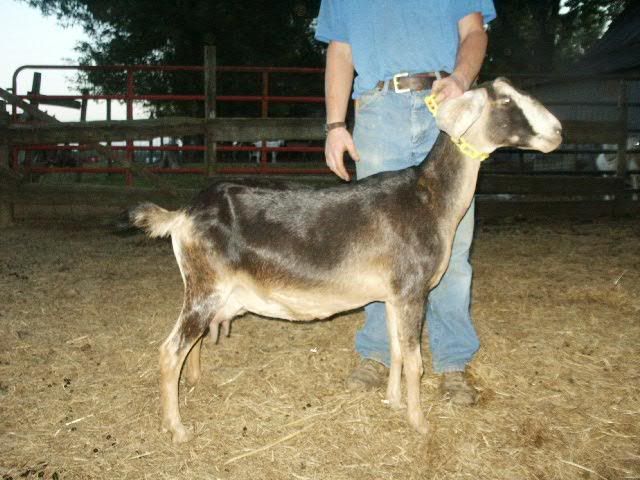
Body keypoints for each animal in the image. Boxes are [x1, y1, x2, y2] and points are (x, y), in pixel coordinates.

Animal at [130, 78, 562, 443]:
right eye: (505, 100)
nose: (558, 132)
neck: (430, 200)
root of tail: (183, 214)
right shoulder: (412, 290)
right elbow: (415, 360)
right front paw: (419, 423)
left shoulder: (393, 296)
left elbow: (396, 350)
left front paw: (394, 402)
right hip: (206, 287)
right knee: (170, 351)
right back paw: (178, 429)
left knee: (191, 343)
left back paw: (195, 382)